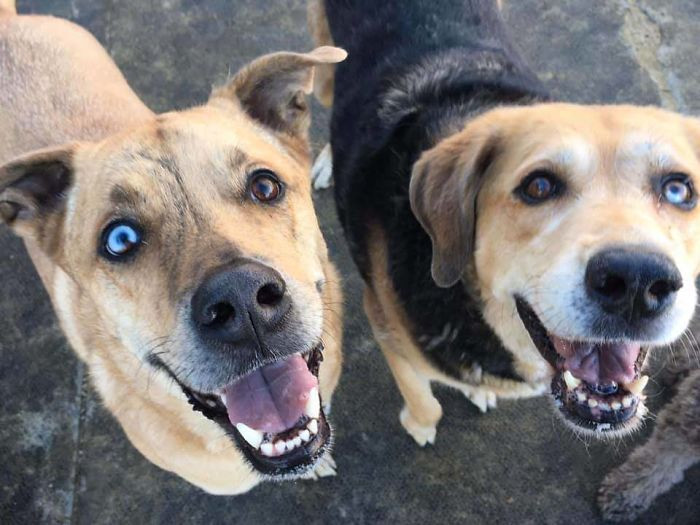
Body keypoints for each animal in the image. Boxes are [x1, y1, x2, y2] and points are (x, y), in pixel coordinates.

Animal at [310, 0, 700, 442]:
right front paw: (420, 425)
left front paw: (478, 393)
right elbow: (425, 401)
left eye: (678, 190)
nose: (637, 282)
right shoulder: (385, 326)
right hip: (327, 64)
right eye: (539, 186)